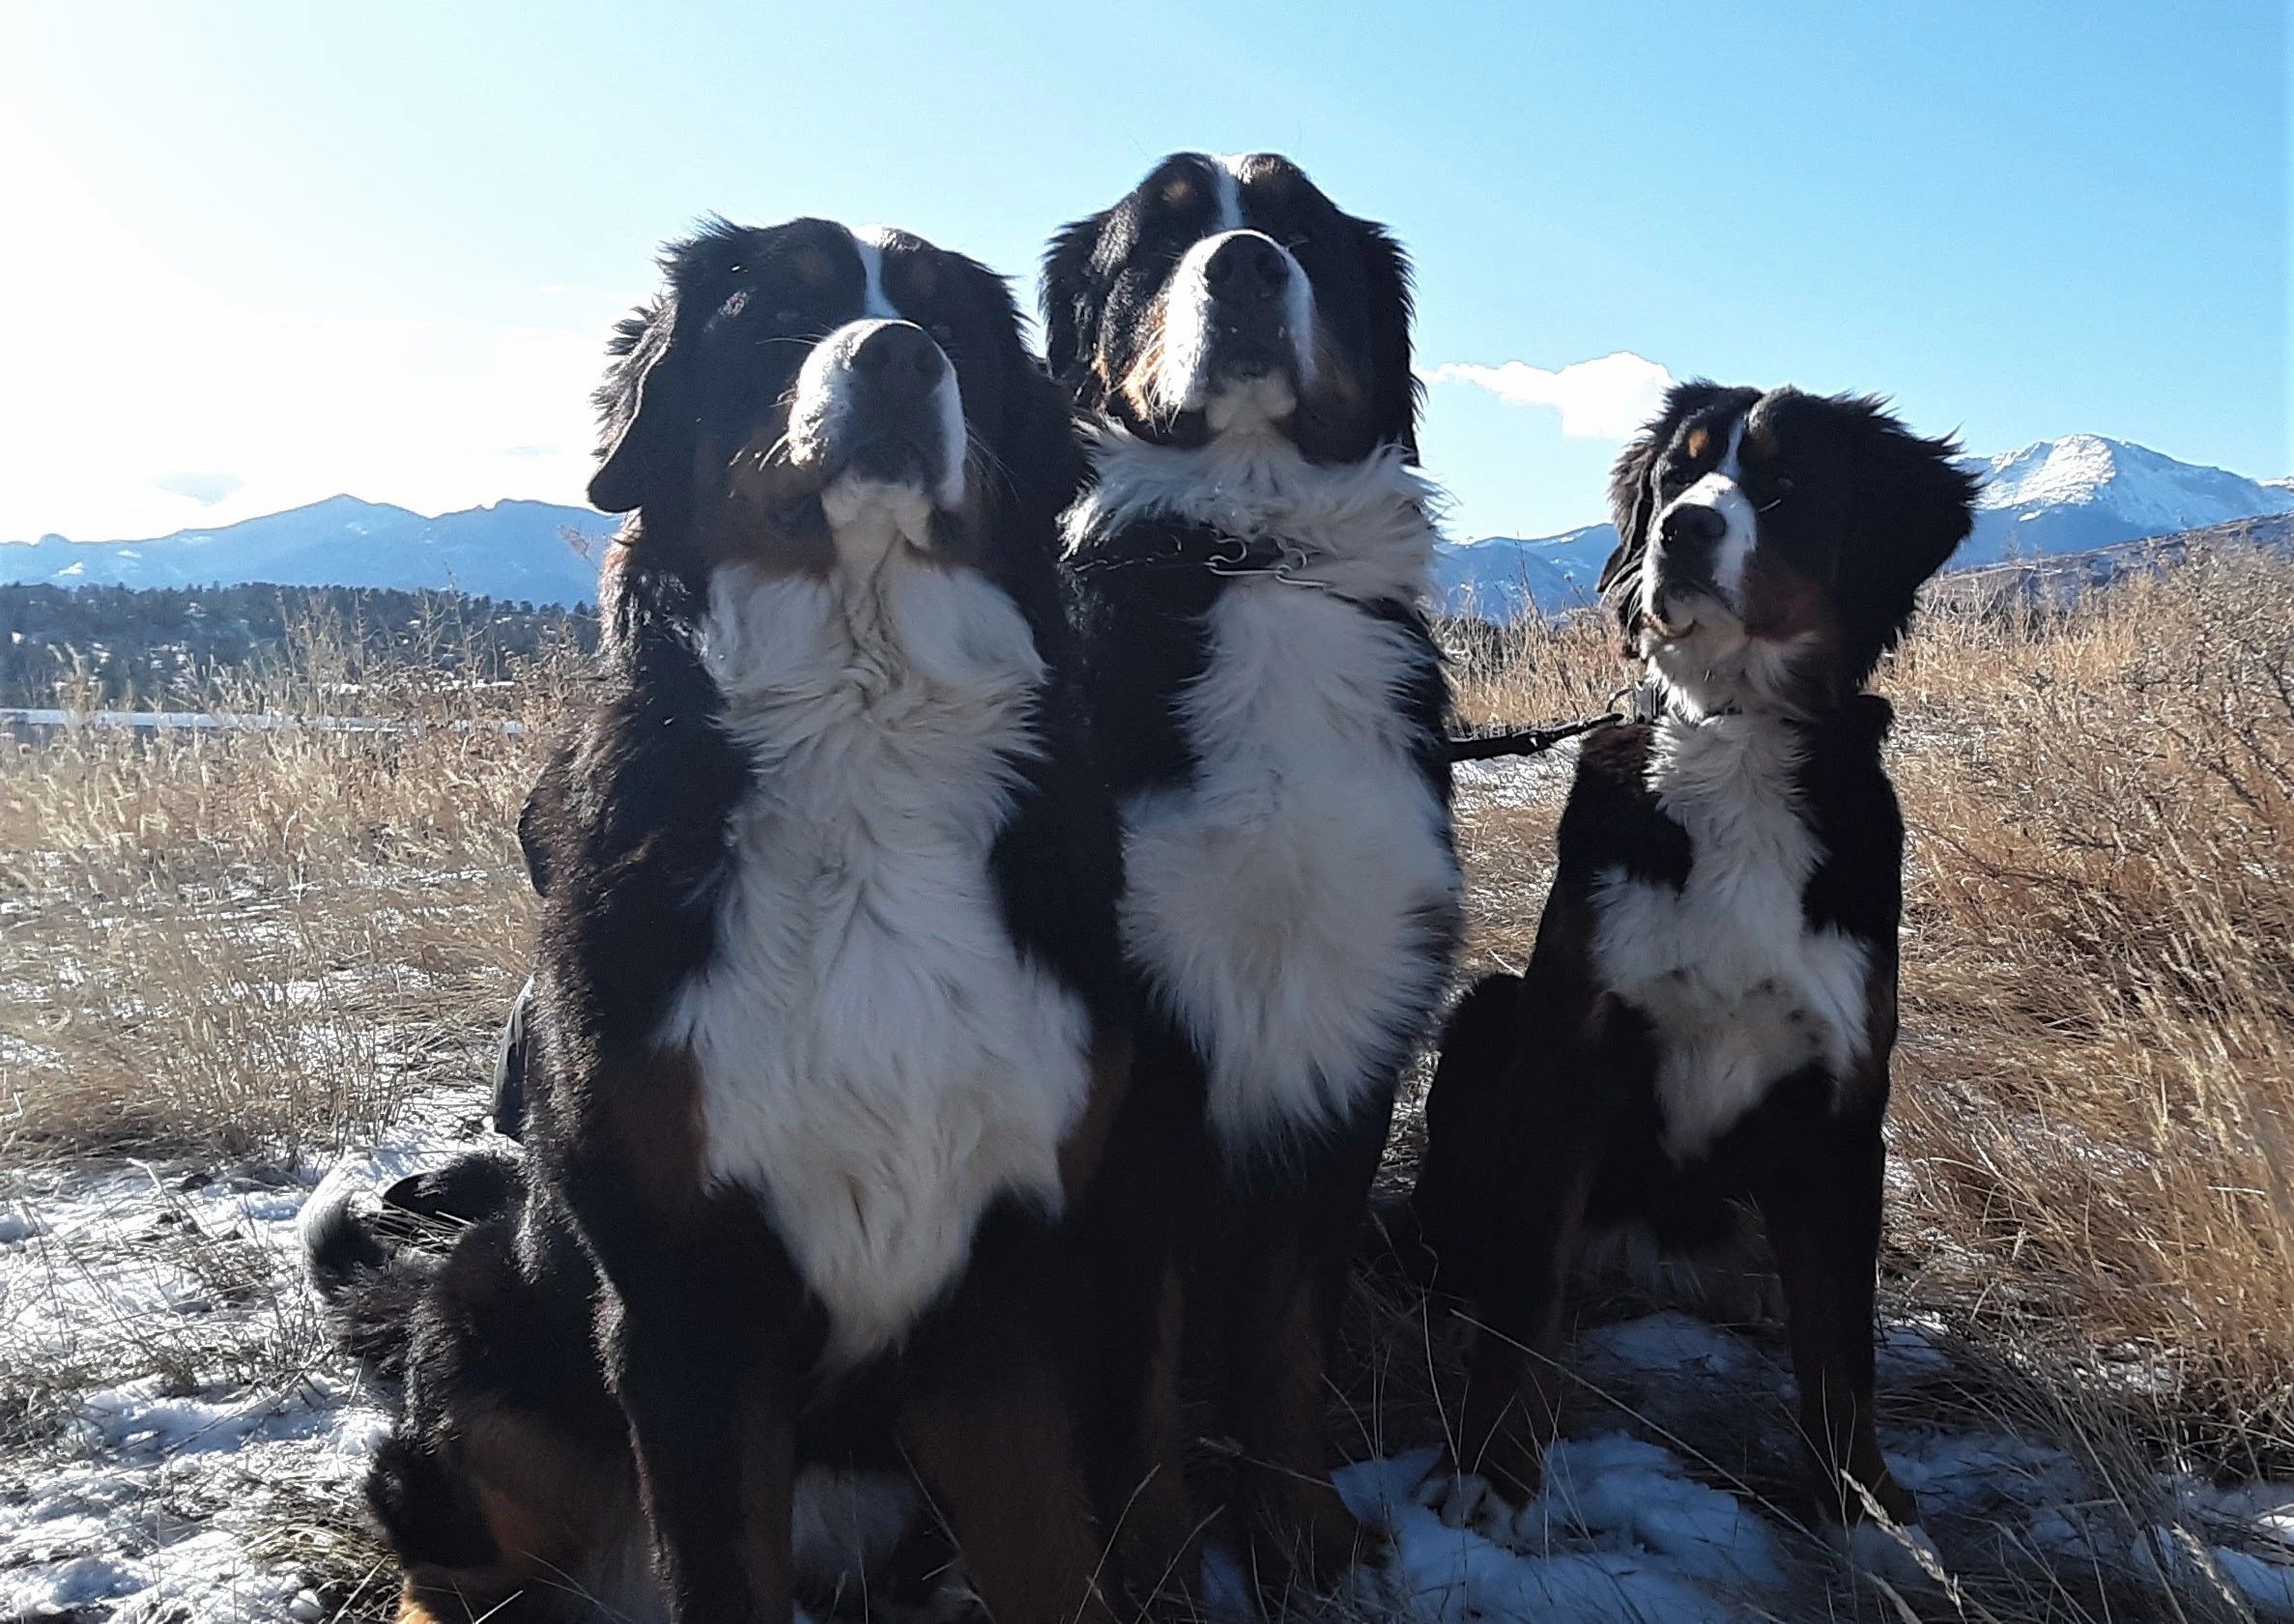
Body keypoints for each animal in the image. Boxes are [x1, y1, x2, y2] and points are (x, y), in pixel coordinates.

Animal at [483, 215, 1129, 1624]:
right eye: (779, 315)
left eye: (953, 329)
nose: (897, 358)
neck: (859, 715)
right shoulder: (686, 1296)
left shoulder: (1004, 1276)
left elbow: (1050, 1558)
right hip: (481, 1320)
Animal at [1046, 145, 1458, 1596]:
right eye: (1161, 236)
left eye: (1300, 229)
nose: (1240, 266)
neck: (1250, 551)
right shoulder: (1137, 1079)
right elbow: (1141, 1371)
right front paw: (1167, 1565)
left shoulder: (1344, 1031)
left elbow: (1286, 1345)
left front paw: (1304, 1533)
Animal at [1403, 383, 1982, 1559]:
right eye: (1679, 472)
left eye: (1787, 481)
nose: (1682, 531)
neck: (1736, 736)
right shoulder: (1570, 1054)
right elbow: (1523, 1296)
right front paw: (1489, 1472)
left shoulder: (1841, 1097)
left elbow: (1842, 1343)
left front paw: (1864, 1505)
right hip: (1493, 1015)